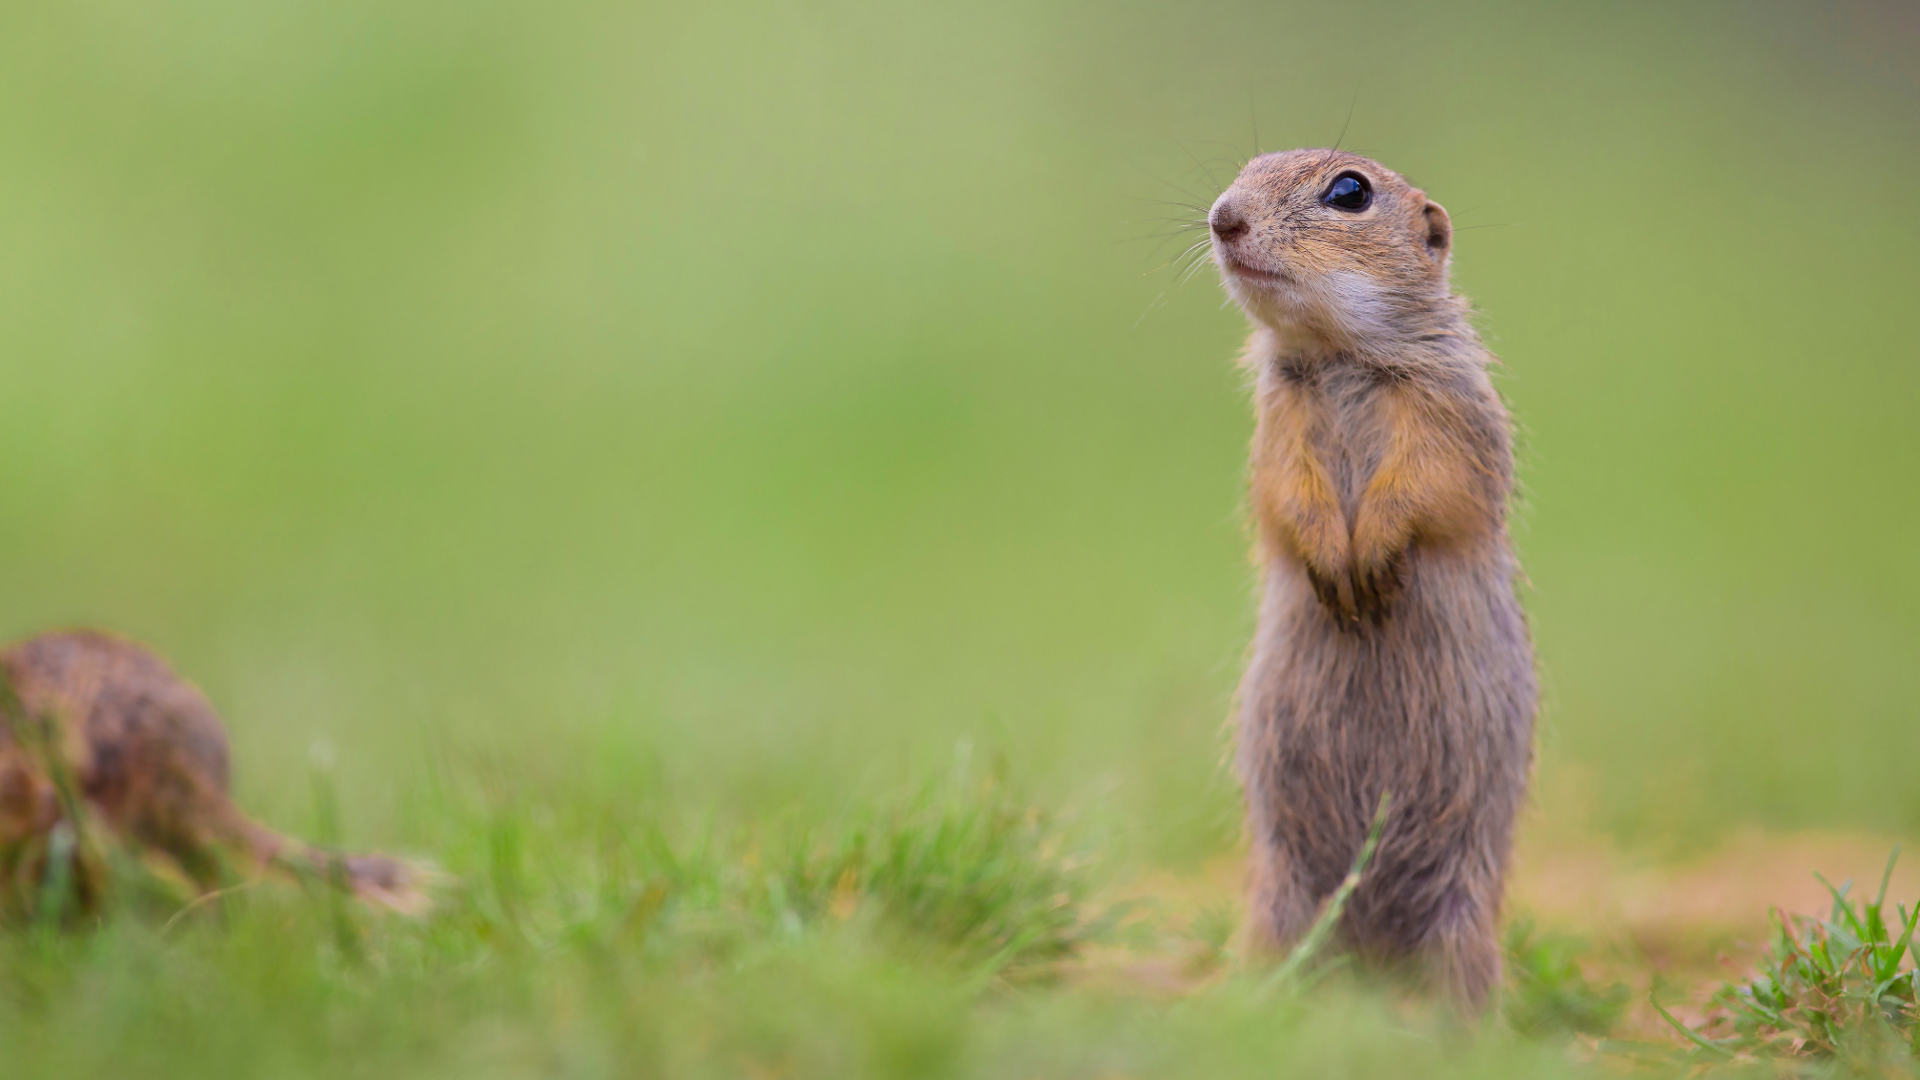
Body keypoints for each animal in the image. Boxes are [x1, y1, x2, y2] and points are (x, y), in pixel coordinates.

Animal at [1209, 149, 1536, 1009]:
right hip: (1279, 896)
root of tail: (1375, 959)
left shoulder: (1444, 407)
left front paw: (1375, 561)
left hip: (1463, 913)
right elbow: (1286, 492)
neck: (1337, 353)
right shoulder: (1279, 419)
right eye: (1247, 166)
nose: (1222, 217)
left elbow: (1426, 488)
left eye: (1349, 192)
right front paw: (1336, 563)